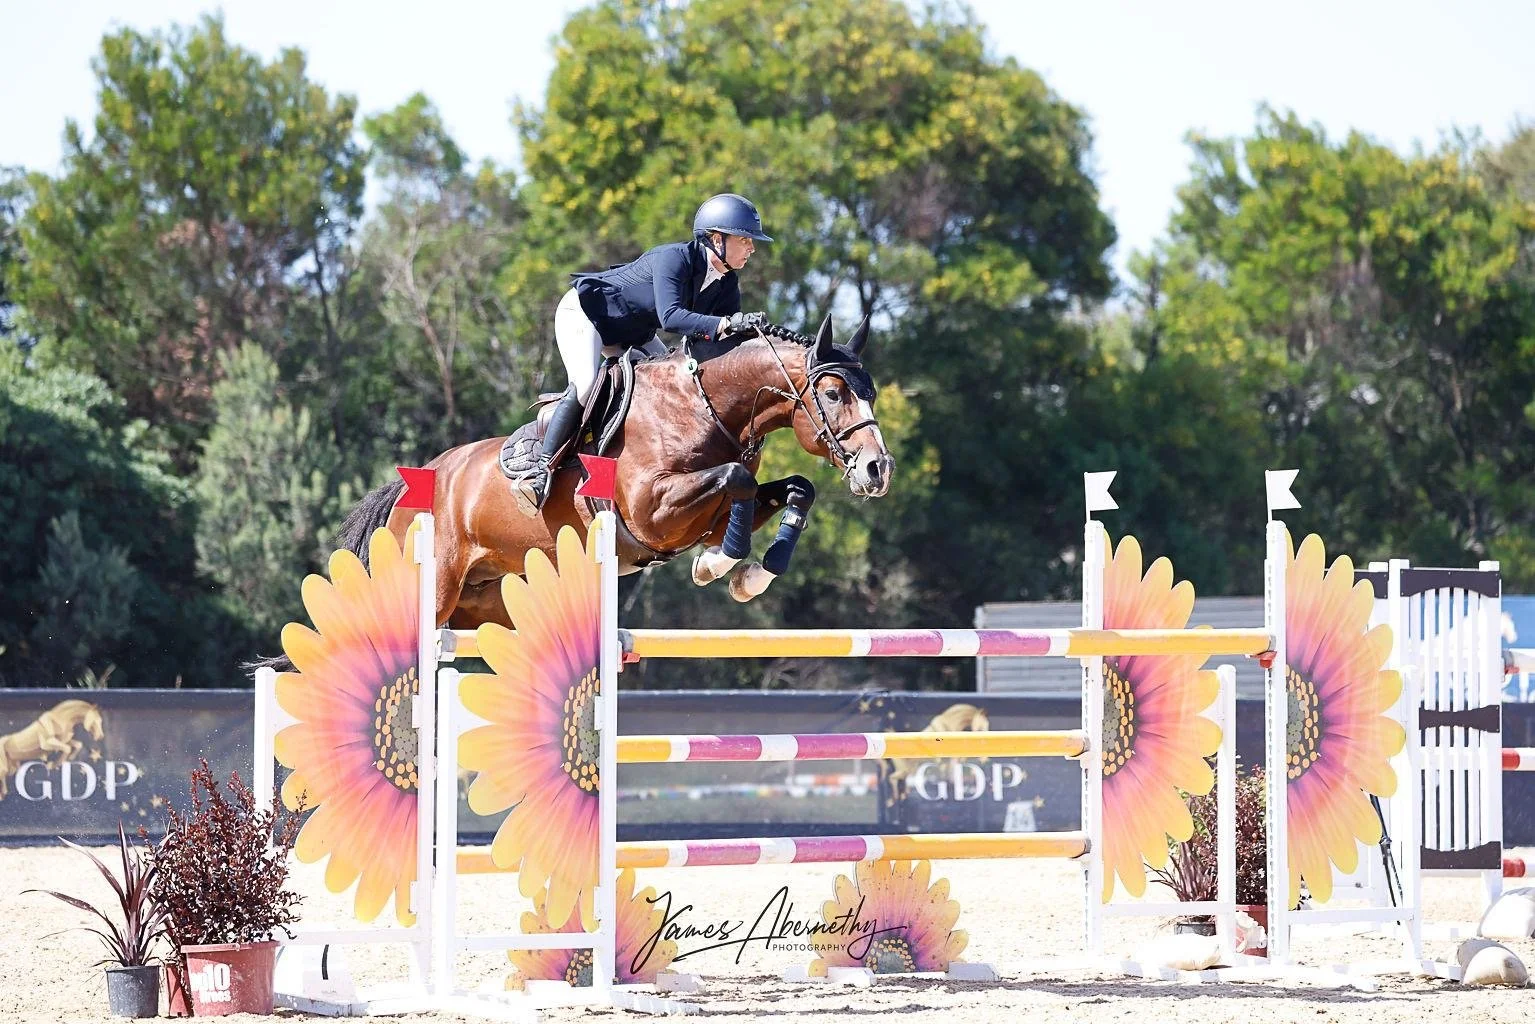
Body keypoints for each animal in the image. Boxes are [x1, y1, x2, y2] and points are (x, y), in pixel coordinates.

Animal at [334, 314, 894, 632]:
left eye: (869, 392)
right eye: (833, 393)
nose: (877, 469)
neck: (702, 405)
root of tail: (411, 484)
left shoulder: (703, 512)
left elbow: (792, 488)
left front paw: (750, 573)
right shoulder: (652, 511)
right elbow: (738, 477)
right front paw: (717, 564)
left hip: (483, 604)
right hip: (434, 589)